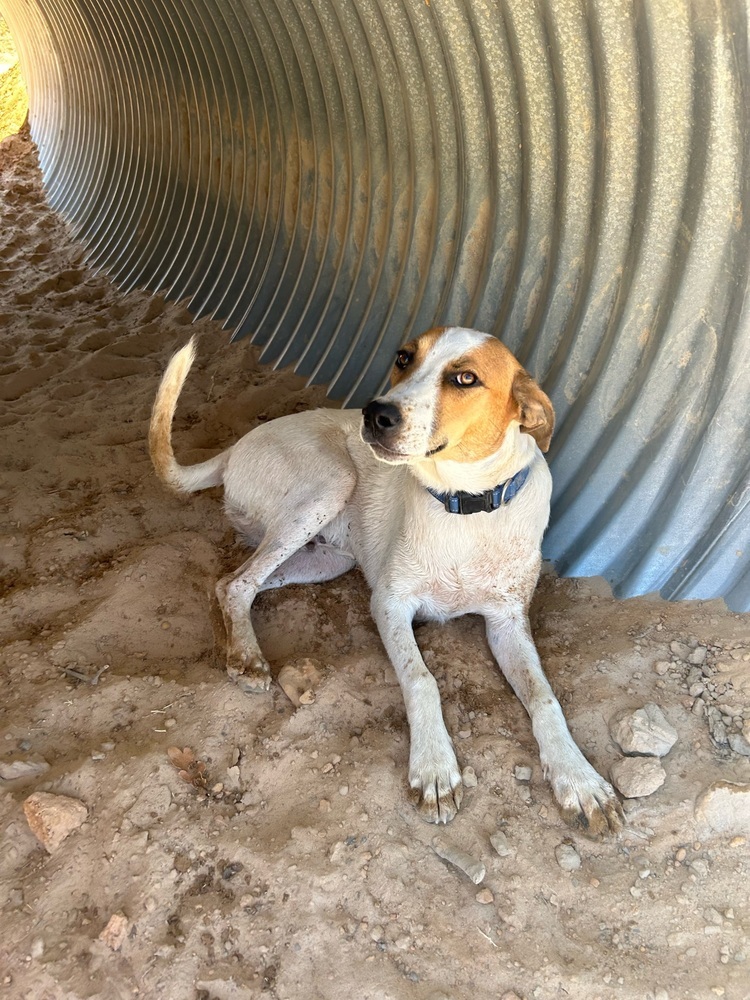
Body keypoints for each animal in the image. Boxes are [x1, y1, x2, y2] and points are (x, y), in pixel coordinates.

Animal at [151, 328, 624, 836]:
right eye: (403, 357)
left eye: (466, 378)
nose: (375, 413)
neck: (464, 507)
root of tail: (235, 448)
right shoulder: (390, 604)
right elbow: (422, 679)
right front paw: (434, 767)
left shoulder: (508, 623)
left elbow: (544, 697)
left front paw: (580, 778)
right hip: (330, 484)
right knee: (239, 584)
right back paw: (248, 658)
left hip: (328, 558)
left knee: (227, 583)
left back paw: (233, 646)